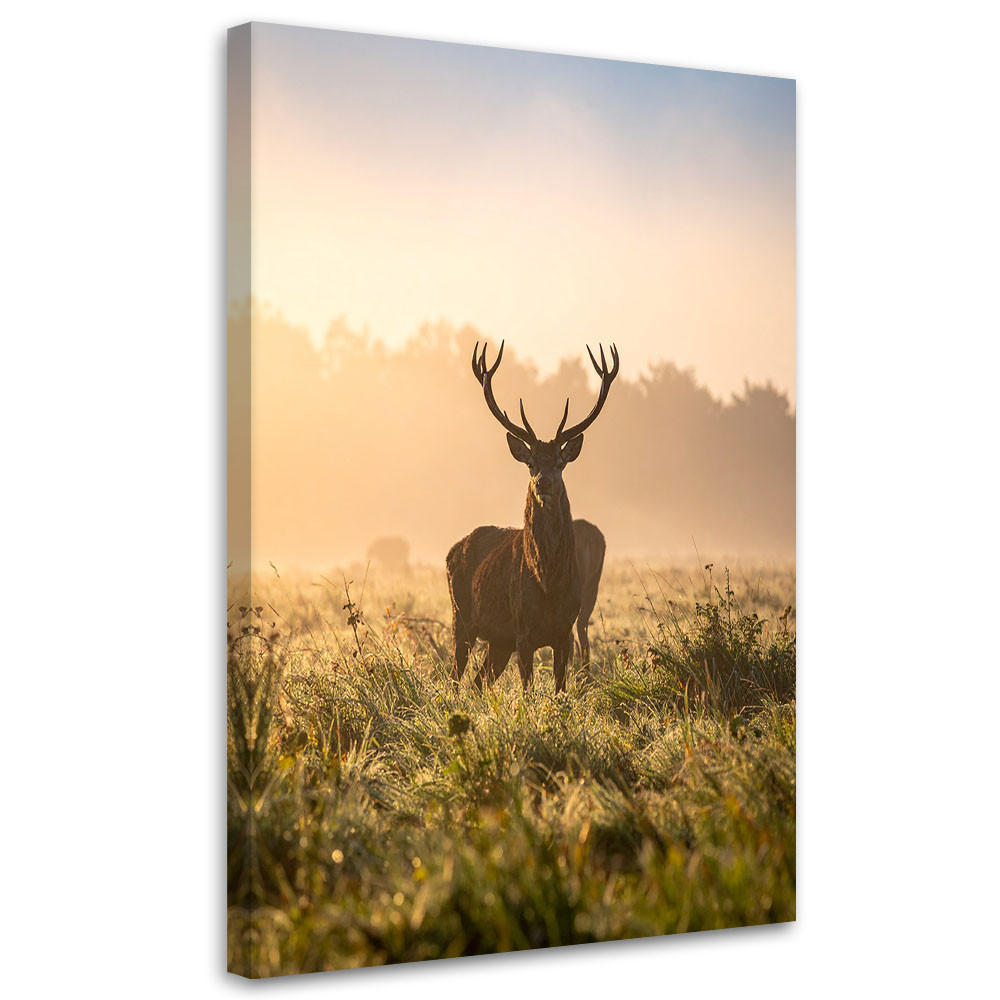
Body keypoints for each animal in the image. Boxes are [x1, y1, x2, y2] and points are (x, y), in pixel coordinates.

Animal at [446, 341, 619, 694]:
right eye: (531, 463)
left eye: (560, 462)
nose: (543, 482)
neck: (548, 583)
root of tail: (451, 552)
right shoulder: (523, 631)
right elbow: (527, 690)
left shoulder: (562, 631)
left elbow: (560, 687)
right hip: (462, 618)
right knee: (454, 676)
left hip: (498, 641)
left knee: (479, 682)